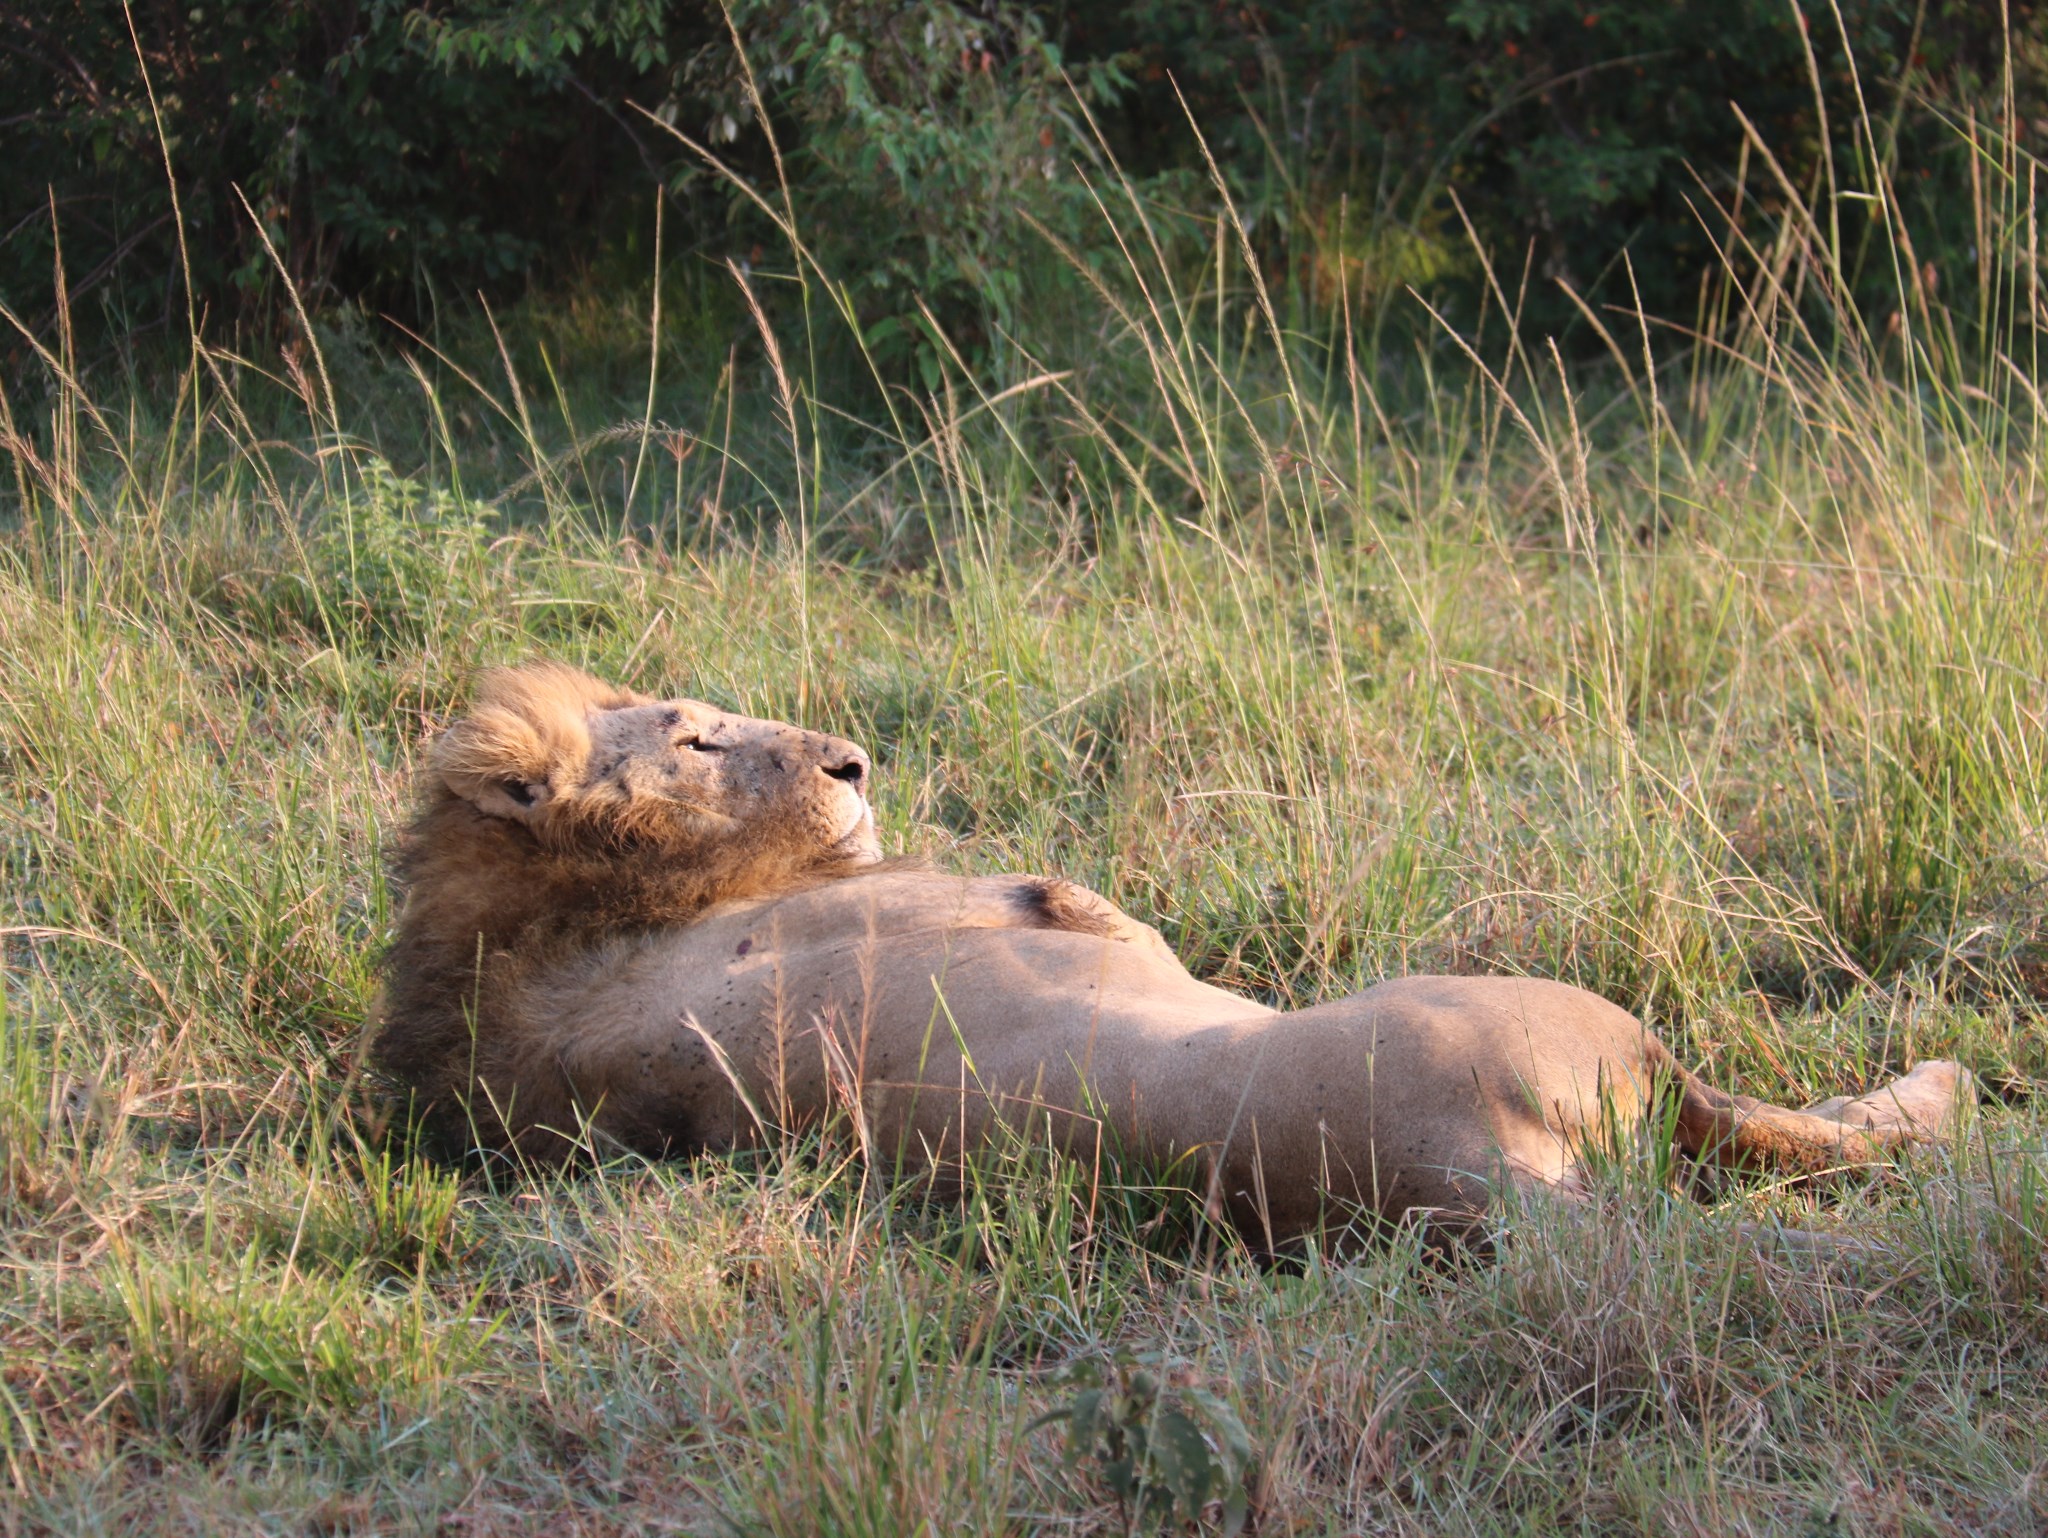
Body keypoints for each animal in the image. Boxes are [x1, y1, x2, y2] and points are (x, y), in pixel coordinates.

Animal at [376, 667, 1974, 1245]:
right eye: (698, 736)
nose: (853, 762)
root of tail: (1475, 1177)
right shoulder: (1041, 899)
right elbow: (1086, 904)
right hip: (1592, 1030)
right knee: (1762, 1112)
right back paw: (1945, 1084)